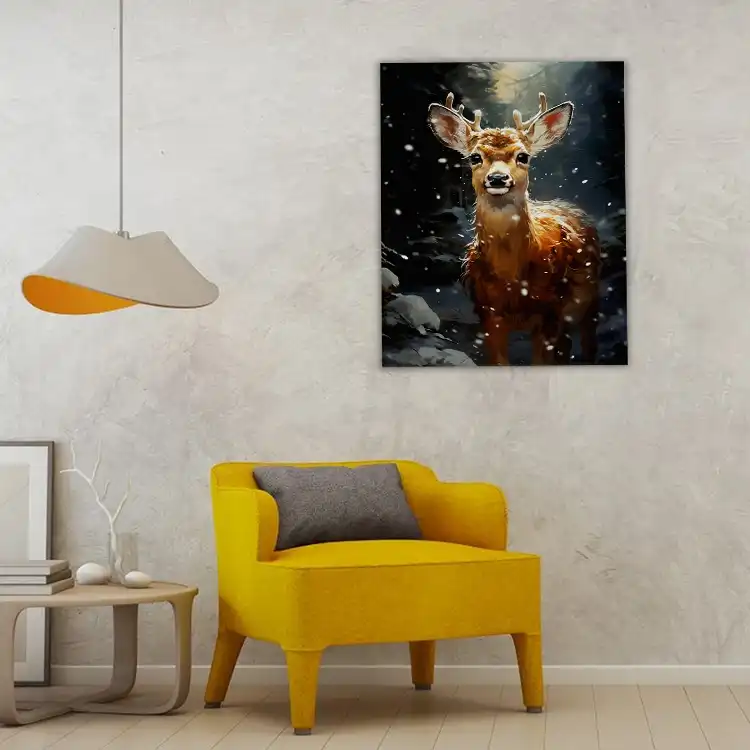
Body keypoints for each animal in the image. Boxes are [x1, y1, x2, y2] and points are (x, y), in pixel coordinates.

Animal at [428, 92, 600, 365]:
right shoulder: (487, 313)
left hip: (592, 301)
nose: (498, 178)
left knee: (588, 343)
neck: (512, 281)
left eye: (523, 156)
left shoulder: (549, 311)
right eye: (475, 157)